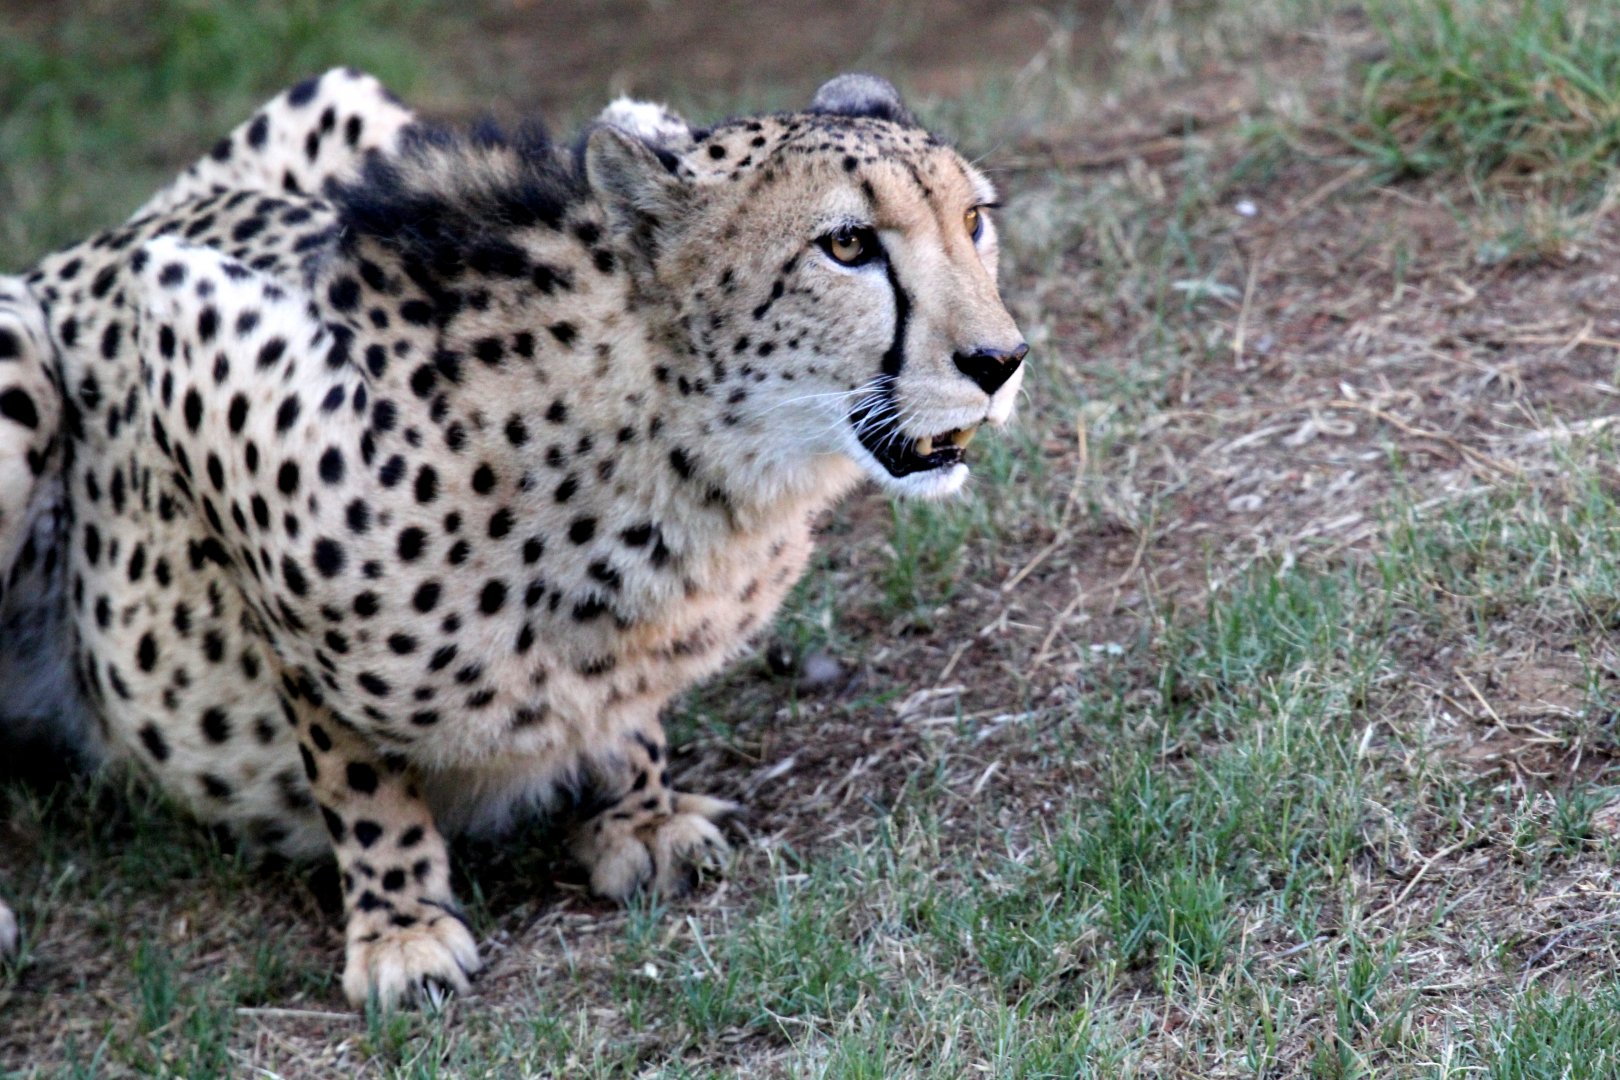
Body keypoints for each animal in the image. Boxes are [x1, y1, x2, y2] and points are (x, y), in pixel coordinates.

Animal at [0, 67, 1026, 1007]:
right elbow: (345, 745)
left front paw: (639, 811)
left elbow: (620, 708)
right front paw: (401, 925)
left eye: (973, 220)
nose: (1001, 361)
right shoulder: (187, 337)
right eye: (847, 244)